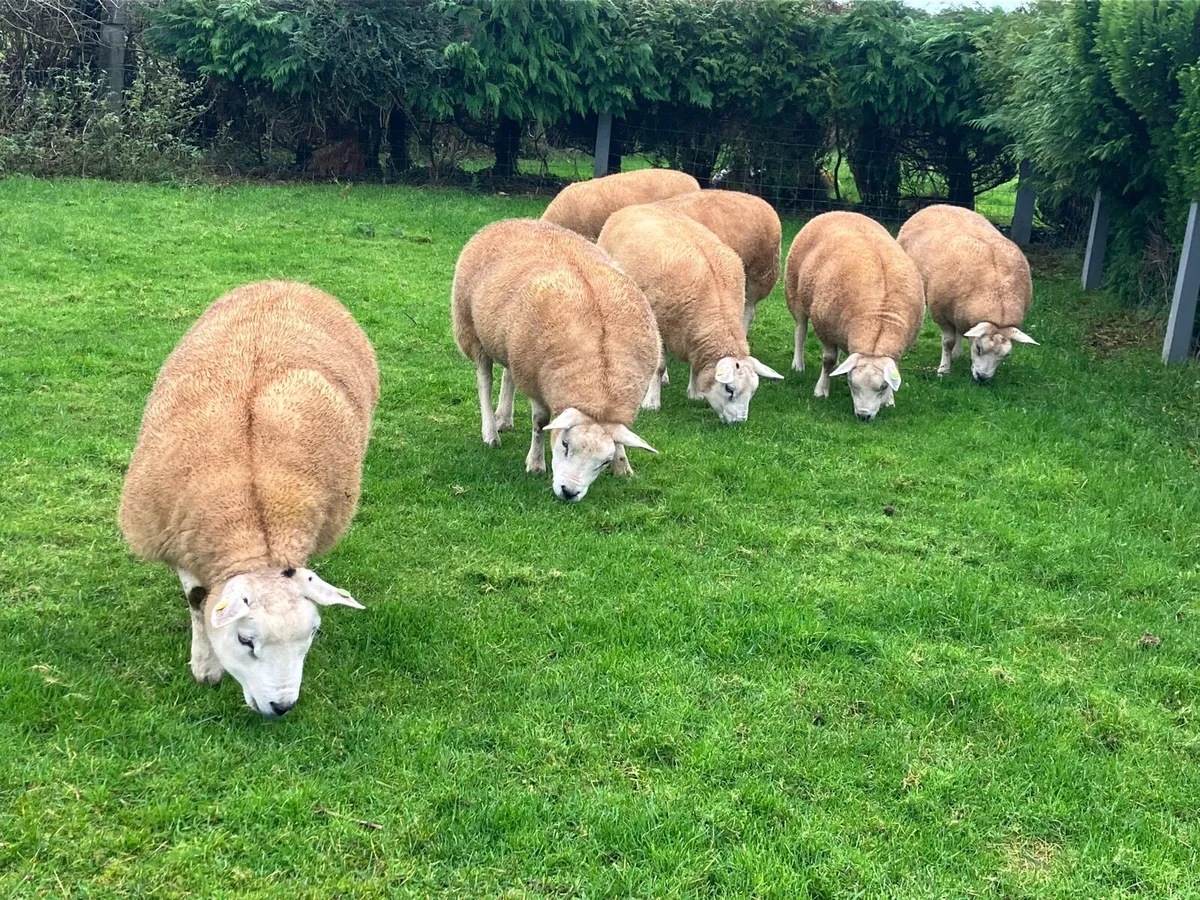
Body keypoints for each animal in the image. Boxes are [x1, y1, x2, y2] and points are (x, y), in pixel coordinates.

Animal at [119, 281, 378, 717]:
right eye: (245, 640)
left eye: (314, 633)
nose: (282, 706)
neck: (257, 537)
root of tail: (284, 282)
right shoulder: (181, 537)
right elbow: (198, 601)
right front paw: (205, 667)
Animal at [451, 218, 659, 502]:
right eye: (565, 444)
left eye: (603, 462)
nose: (569, 492)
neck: (601, 378)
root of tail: (509, 222)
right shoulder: (536, 381)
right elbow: (540, 423)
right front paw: (535, 464)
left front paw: (623, 465)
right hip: (471, 329)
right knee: (485, 379)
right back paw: (491, 432)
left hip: (512, 341)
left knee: (508, 374)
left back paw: (504, 418)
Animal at [597, 205, 784, 424]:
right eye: (729, 389)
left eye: (753, 392)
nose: (739, 422)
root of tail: (631, 208)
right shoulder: (660, 323)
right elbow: (659, 366)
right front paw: (651, 403)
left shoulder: (694, 334)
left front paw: (695, 393)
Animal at [784, 212, 925, 421]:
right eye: (852, 385)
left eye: (882, 387)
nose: (863, 416)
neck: (877, 319)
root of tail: (841, 212)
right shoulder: (825, 329)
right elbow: (828, 360)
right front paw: (821, 391)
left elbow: (895, 369)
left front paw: (889, 400)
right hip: (794, 290)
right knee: (800, 331)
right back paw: (798, 364)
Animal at [897, 204, 1037, 383]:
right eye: (978, 348)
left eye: (1006, 355)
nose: (983, 378)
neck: (998, 295)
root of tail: (937, 205)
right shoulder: (941, 313)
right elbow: (947, 342)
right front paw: (944, 370)